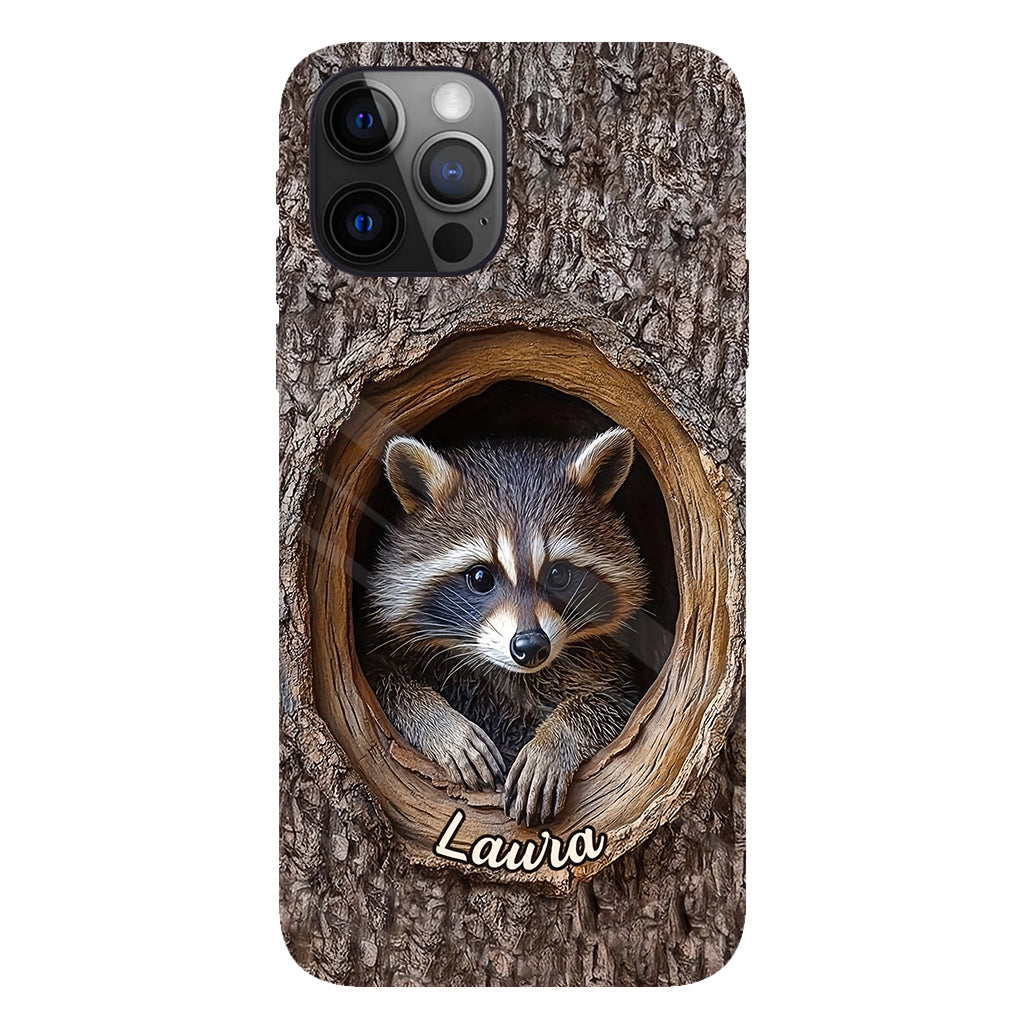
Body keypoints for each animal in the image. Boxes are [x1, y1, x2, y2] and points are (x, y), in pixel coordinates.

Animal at [364, 426, 649, 826]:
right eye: (481, 577)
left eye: (558, 574)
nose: (530, 646)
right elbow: (384, 681)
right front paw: (440, 723)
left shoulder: (605, 666)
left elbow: (612, 704)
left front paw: (555, 739)